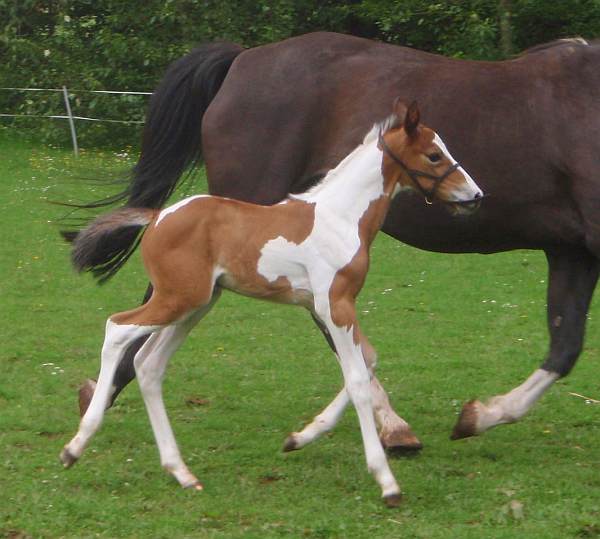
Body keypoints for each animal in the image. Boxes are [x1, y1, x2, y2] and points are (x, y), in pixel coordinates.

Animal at [61, 100, 482, 506]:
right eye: (433, 155)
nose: (476, 196)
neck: (341, 217)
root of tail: (158, 216)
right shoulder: (335, 305)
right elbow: (358, 378)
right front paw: (386, 482)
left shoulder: (330, 306)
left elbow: (368, 361)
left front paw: (300, 438)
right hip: (177, 298)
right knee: (117, 329)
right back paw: (75, 447)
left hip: (196, 305)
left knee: (149, 364)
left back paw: (181, 472)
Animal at [74, 31, 600, 450]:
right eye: (433, 153)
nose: (474, 194)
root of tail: (242, 60)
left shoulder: (573, 251)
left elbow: (565, 345)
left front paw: (478, 416)